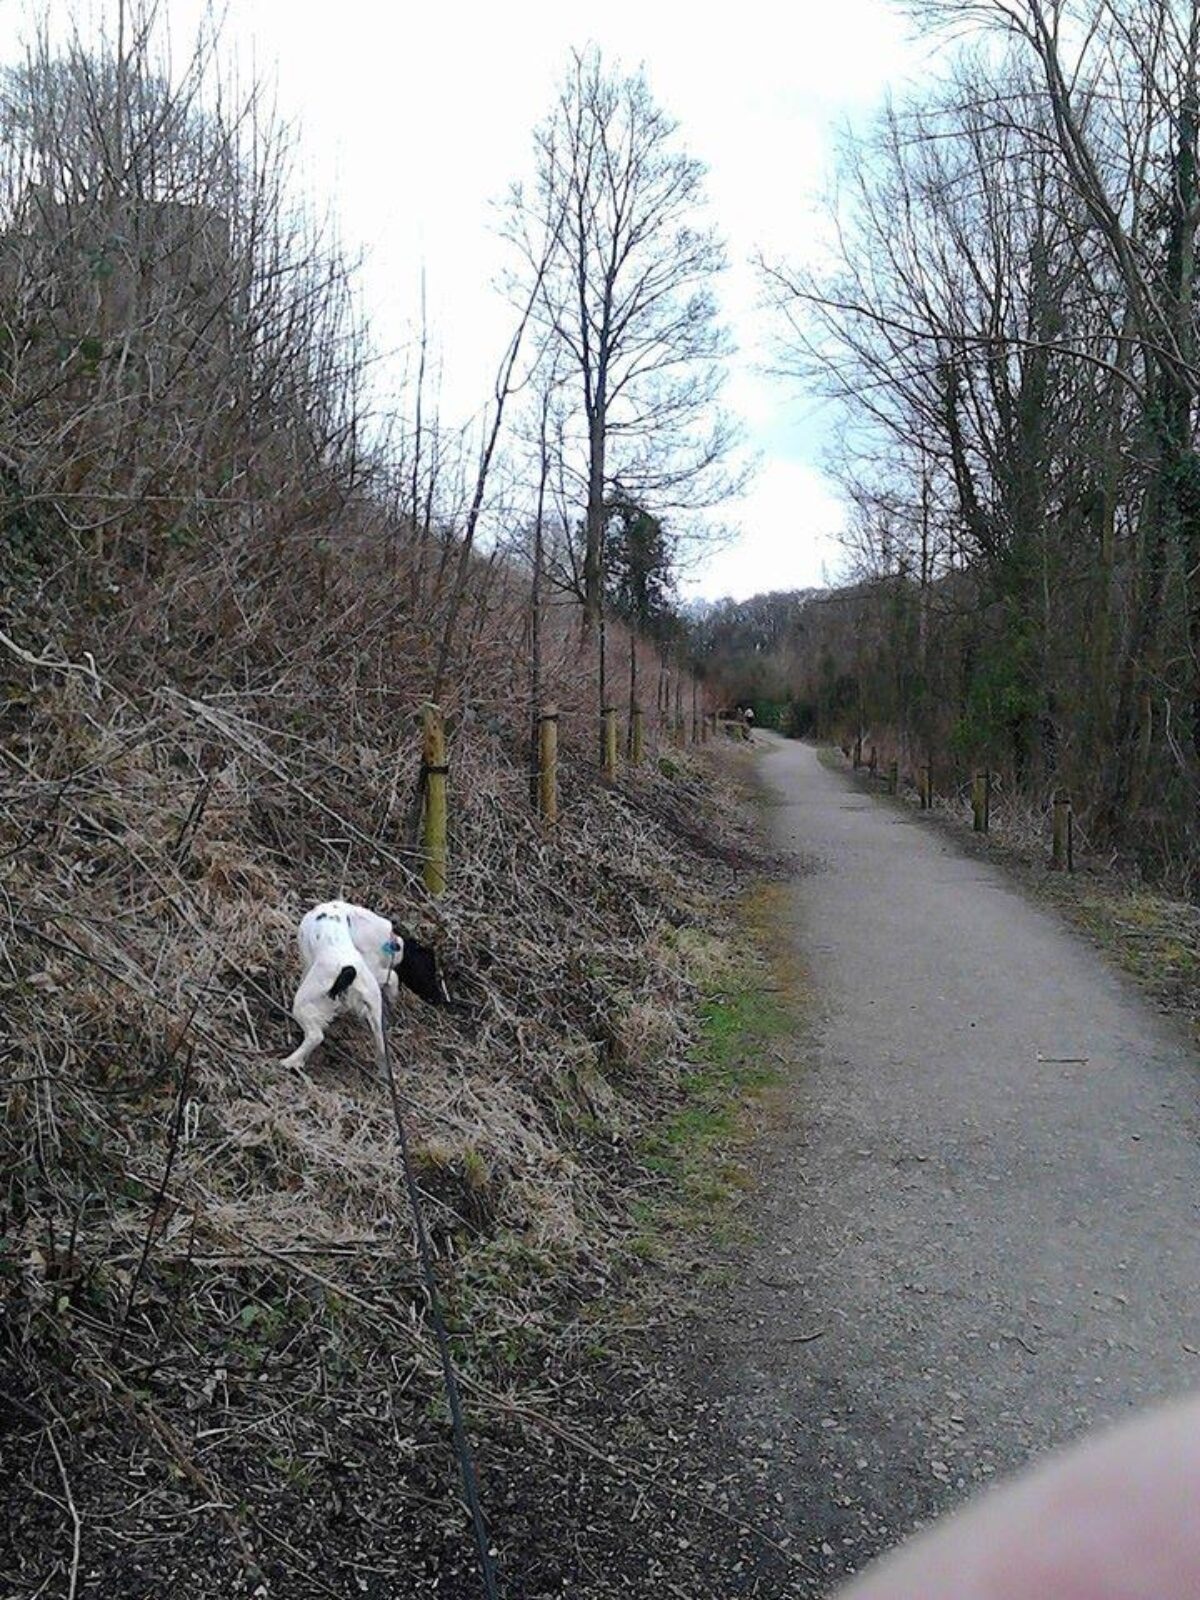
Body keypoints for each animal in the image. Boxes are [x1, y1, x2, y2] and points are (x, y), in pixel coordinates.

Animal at [284, 902, 454, 1075]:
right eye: (429, 972)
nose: (440, 999)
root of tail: (348, 972)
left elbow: (393, 976)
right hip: (376, 1017)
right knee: (382, 1052)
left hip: (303, 1002)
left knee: (316, 1036)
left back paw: (289, 1062)